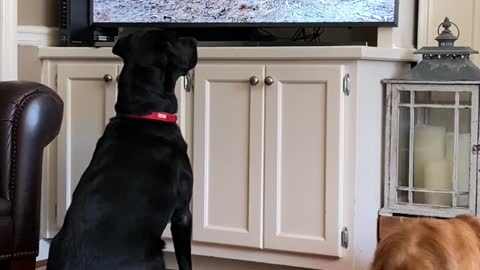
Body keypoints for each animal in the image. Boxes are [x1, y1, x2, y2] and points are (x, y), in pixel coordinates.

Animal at [47, 30, 198, 270]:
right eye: (175, 39)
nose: (195, 40)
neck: (143, 112)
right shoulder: (183, 212)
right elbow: (185, 260)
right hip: (155, 256)